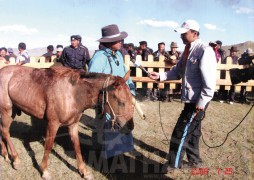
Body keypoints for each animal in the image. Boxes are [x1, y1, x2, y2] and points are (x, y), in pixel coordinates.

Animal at [0, 65, 135, 179]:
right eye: (121, 102)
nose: (130, 126)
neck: (73, 93)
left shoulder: (73, 124)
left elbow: (77, 146)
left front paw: (84, 171)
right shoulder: (52, 123)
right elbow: (48, 146)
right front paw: (44, 170)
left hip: (11, 111)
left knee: (2, 131)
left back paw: (6, 155)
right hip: (7, 110)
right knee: (5, 131)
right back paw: (16, 159)